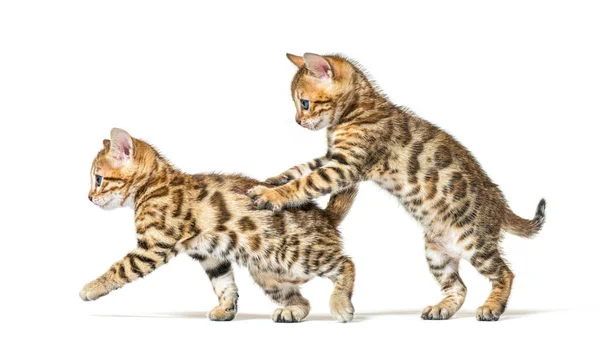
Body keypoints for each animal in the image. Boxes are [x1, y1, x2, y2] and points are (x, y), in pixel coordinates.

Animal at [82, 127, 358, 324]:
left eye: (99, 179)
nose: (89, 198)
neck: (153, 185)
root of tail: (326, 216)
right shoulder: (211, 256)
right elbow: (224, 284)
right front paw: (227, 309)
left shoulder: (154, 245)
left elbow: (120, 269)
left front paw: (92, 288)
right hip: (269, 274)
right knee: (303, 300)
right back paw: (291, 311)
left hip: (298, 256)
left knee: (346, 263)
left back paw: (341, 305)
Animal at [246, 53, 548, 322]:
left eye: (304, 103)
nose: (298, 121)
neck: (360, 109)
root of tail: (500, 203)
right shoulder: (331, 158)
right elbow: (299, 169)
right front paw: (274, 180)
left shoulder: (345, 166)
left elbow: (305, 182)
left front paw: (272, 195)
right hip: (436, 252)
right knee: (459, 288)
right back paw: (442, 309)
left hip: (474, 242)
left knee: (505, 274)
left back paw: (492, 307)